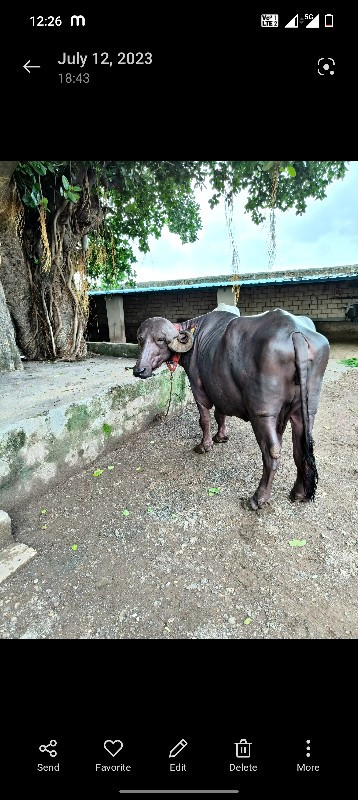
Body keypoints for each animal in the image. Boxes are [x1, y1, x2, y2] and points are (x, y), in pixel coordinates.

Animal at [134, 310, 330, 510]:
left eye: (160, 339)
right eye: (140, 339)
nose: (138, 370)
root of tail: (295, 333)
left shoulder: (198, 388)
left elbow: (204, 419)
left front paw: (204, 445)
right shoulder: (219, 389)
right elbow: (220, 414)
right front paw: (221, 436)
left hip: (262, 413)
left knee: (272, 451)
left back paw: (258, 499)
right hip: (306, 410)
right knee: (301, 447)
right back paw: (299, 492)